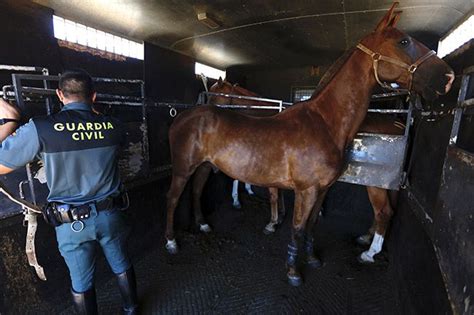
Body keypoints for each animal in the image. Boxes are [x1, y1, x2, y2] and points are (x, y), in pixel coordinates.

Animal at [165, 2, 454, 288]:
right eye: (404, 41)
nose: (449, 77)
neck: (324, 123)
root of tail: (183, 116)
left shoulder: (323, 189)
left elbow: (312, 225)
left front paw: (312, 258)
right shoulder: (307, 190)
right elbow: (297, 227)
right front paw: (293, 271)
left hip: (203, 166)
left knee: (196, 192)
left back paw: (203, 225)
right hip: (182, 168)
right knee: (173, 198)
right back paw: (171, 242)